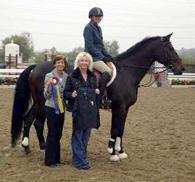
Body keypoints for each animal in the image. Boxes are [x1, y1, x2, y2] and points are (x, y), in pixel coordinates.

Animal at [11, 33, 184, 159]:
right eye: (169, 48)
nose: (180, 68)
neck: (127, 72)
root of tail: (36, 67)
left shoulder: (125, 108)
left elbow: (121, 129)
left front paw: (121, 151)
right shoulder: (119, 107)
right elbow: (116, 129)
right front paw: (113, 153)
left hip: (38, 102)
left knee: (28, 120)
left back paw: (26, 147)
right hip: (43, 102)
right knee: (38, 123)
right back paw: (43, 149)